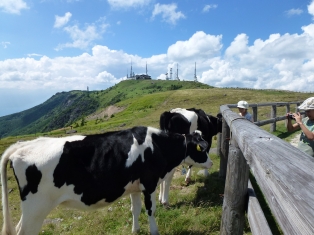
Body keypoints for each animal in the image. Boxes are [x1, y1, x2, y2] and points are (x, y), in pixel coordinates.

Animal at [1, 126, 212, 235]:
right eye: (202, 148)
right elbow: (151, 211)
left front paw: (135, 230)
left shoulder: (135, 187)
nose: (210, 162)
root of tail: (24, 145)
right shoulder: (149, 184)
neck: (157, 146)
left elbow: (135, 209)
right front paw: (154, 231)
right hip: (36, 208)